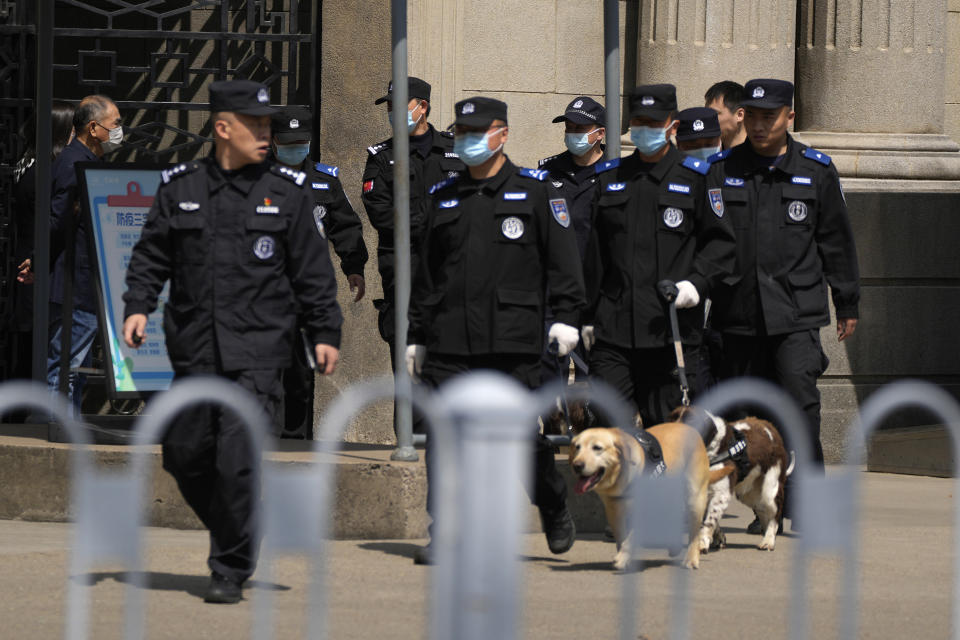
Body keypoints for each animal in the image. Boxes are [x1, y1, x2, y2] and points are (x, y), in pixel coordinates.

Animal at [568, 424, 712, 568]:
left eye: (597, 448)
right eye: (577, 447)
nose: (577, 465)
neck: (620, 476)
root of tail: (691, 428)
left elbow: (633, 536)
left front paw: (622, 557)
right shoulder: (613, 511)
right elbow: (621, 537)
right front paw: (624, 556)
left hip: (695, 499)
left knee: (694, 534)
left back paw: (691, 558)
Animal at [668, 408, 796, 552]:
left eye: (690, 421)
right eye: (671, 419)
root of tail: (771, 428)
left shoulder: (721, 493)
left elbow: (709, 519)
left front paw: (702, 542)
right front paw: (718, 538)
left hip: (770, 488)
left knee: (775, 514)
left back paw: (768, 541)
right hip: (749, 493)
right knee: (762, 511)